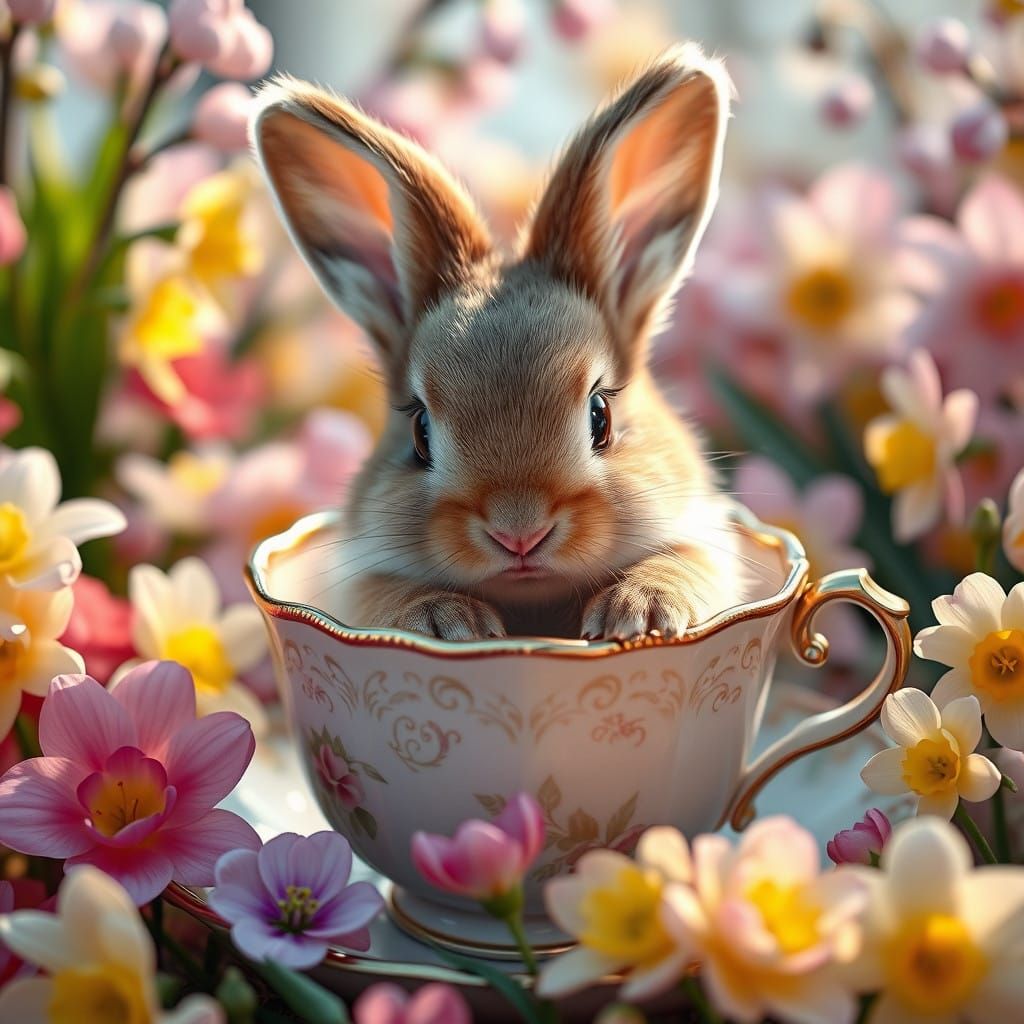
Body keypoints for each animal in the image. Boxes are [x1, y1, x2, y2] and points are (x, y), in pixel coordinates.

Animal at [251, 43, 746, 641]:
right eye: (419, 433)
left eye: (600, 416)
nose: (519, 532)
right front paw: (445, 623)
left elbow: (681, 563)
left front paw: (641, 610)